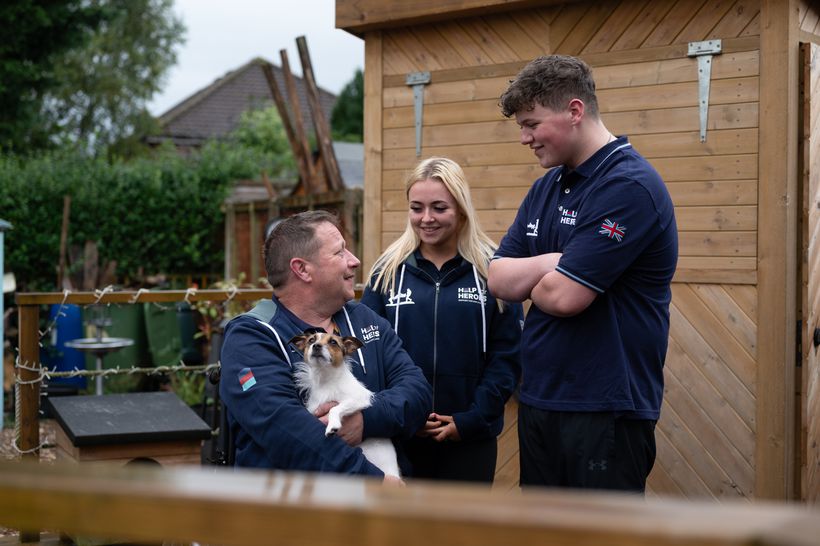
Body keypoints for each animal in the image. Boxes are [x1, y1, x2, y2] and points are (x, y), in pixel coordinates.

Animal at [290, 328, 402, 476]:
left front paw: (332, 426)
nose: (316, 346)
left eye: (333, 342)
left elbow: (335, 408)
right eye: (311, 340)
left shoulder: (359, 399)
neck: (326, 380)